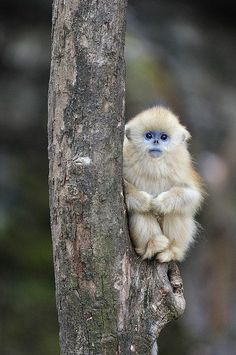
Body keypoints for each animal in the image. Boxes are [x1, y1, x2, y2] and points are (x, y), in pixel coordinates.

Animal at [123, 107, 203, 262]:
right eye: (148, 135)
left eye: (164, 137)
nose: (155, 141)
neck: (154, 164)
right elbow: (126, 189)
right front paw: (147, 202)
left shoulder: (182, 166)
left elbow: (192, 195)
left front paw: (160, 203)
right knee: (140, 212)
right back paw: (152, 246)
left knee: (176, 211)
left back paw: (170, 251)